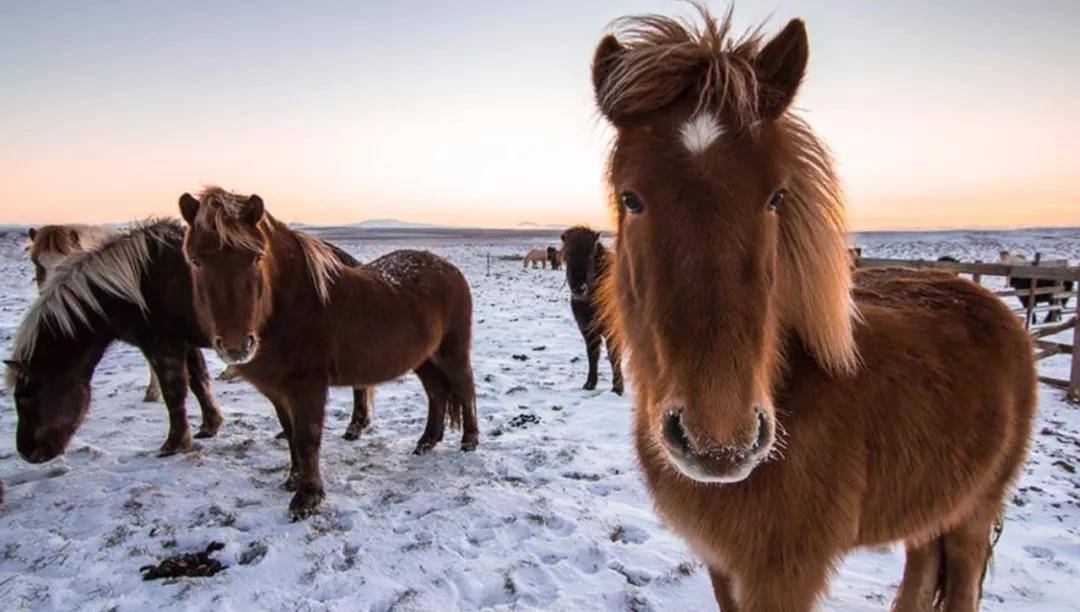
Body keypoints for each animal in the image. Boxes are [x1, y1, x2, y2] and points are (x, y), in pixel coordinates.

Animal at [179, 187, 478, 517]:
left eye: (256, 257)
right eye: (195, 261)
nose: (236, 346)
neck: (293, 306)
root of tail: (450, 270)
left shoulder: (307, 386)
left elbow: (308, 437)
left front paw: (307, 498)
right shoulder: (277, 390)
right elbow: (291, 433)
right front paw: (294, 480)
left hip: (451, 353)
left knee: (465, 388)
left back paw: (469, 441)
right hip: (424, 359)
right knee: (436, 393)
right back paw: (426, 442)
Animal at [561, 227, 622, 395]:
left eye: (590, 255)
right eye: (568, 256)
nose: (579, 288)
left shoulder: (612, 330)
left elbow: (614, 355)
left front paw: (618, 387)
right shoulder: (588, 329)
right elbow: (592, 354)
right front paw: (590, 383)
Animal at [590, 7, 1036, 610]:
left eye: (776, 196)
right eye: (631, 198)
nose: (720, 442)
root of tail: (998, 310)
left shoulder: (783, 575)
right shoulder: (721, 565)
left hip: (974, 513)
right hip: (931, 510)